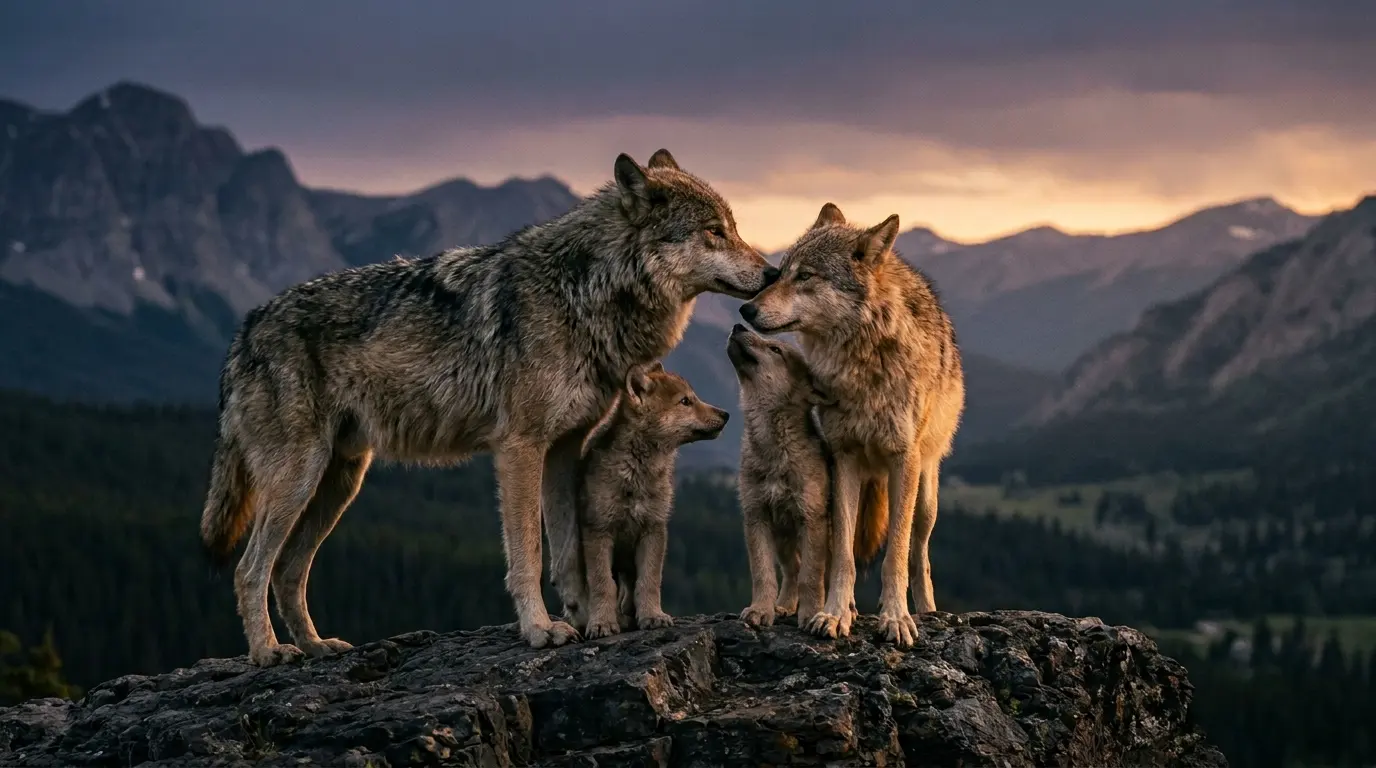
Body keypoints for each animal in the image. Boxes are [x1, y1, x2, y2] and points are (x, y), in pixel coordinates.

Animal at [573, 361, 729, 638]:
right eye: (685, 401)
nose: (726, 414)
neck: (637, 470)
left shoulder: (653, 529)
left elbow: (649, 581)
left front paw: (653, 616)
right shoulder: (598, 531)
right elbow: (602, 583)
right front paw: (602, 623)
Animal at [726, 323, 837, 629]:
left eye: (775, 349)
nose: (737, 325)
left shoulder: (811, 519)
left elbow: (812, 577)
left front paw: (811, 614)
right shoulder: (756, 517)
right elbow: (763, 574)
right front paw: (761, 611)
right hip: (783, 540)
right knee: (792, 570)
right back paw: (785, 607)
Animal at [739, 202, 965, 648]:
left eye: (805, 276)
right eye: (780, 272)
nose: (746, 310)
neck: (863, 362)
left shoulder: (902, 459)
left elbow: (895, 554)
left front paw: (896, 618)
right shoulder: (843, 459)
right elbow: (842, 554)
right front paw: (834, 613)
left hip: (925, 494)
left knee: (919, 552)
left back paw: (926, 608)